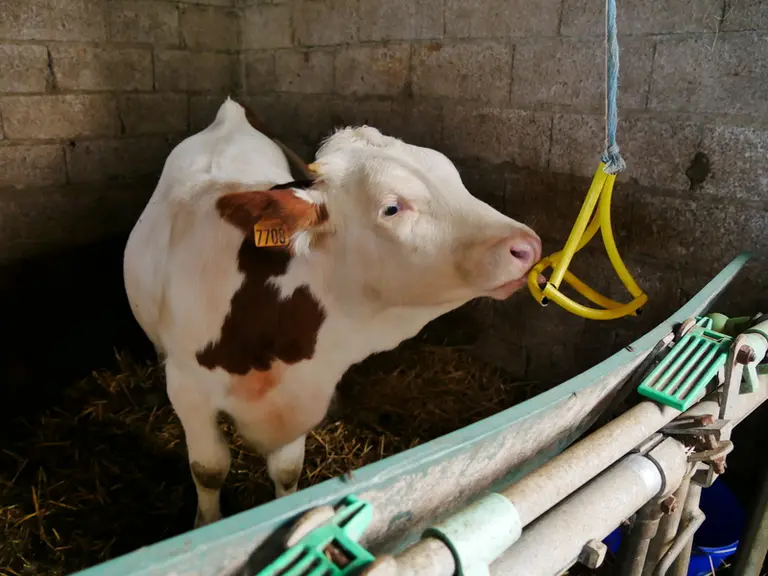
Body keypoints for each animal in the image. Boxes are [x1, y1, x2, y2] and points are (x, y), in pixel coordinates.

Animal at [123, 97, 542, 528]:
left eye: (455, 179)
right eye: (391, 208)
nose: (526, 246)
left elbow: (287, 470)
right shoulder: (188, 389)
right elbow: (209, 469)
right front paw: (207, 523)